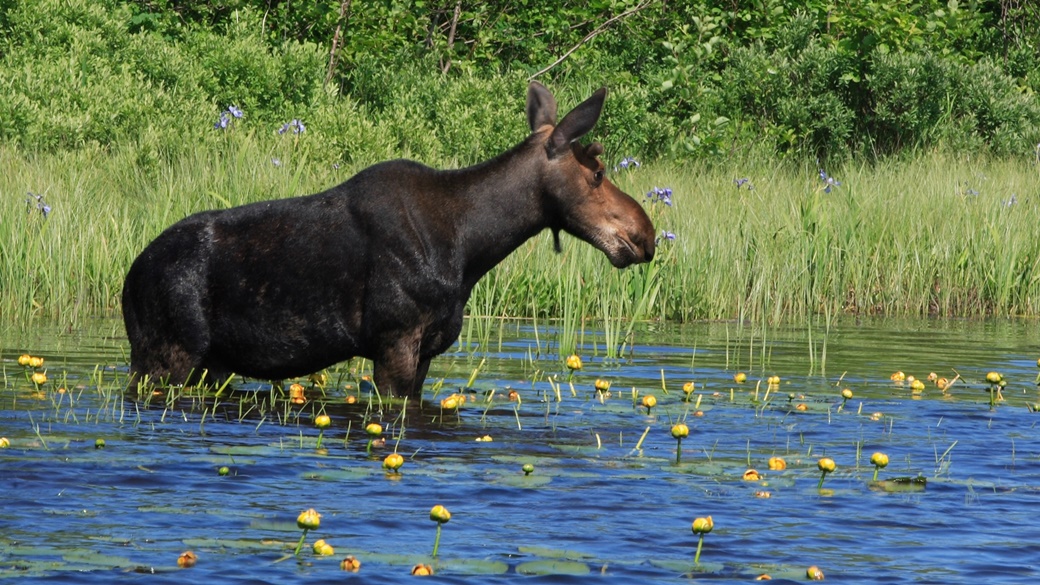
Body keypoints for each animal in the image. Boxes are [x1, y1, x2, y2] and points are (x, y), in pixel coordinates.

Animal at [123, 82, 657, 397]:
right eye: (598, 173)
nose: (646, 234)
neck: (471, 248)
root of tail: (129, 277)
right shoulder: (394, 341)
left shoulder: (426, 352)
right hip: (165, 354)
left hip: (207, 363)